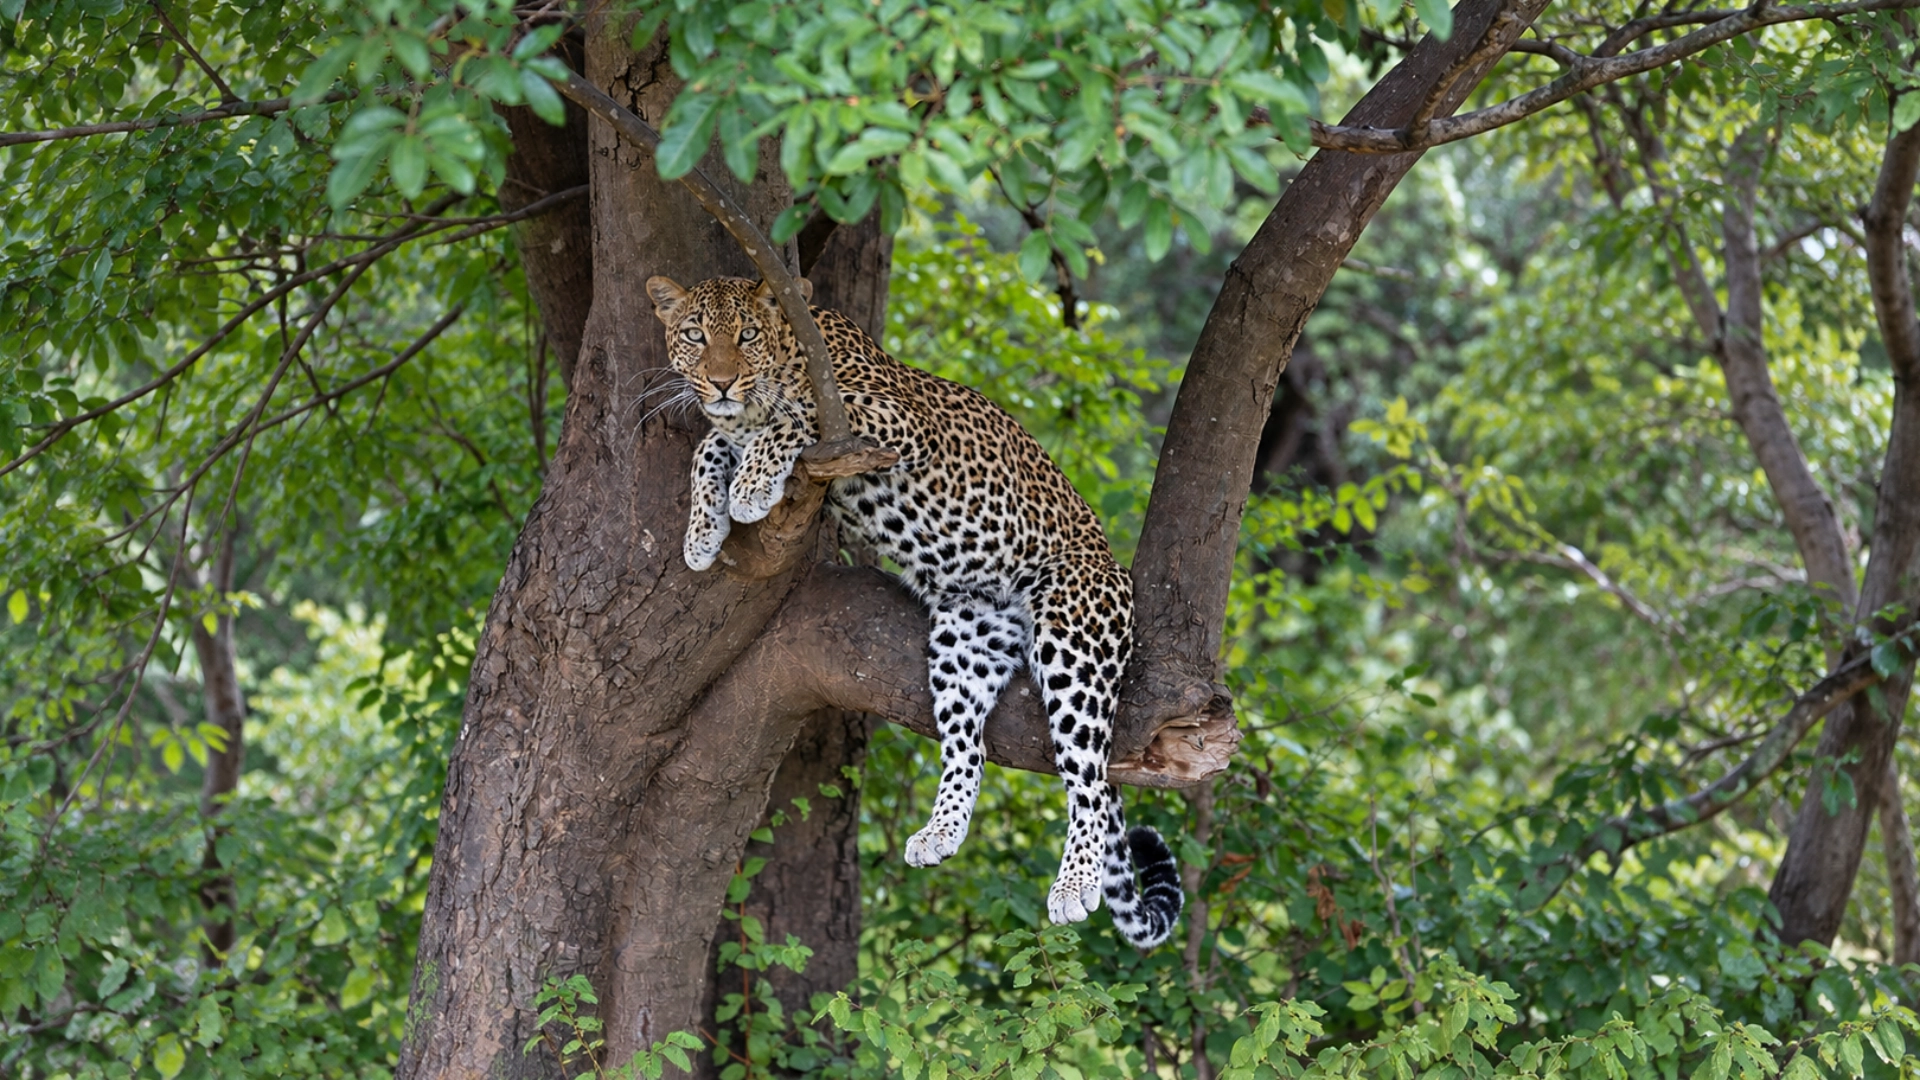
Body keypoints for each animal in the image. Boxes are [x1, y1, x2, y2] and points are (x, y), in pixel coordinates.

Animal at [645, 273, 1183, 950]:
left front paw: (747, 489)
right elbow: (710, 445)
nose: (719, 381)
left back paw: (1074, 884)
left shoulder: (887, 419)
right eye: (695, 335)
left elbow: (794, 416)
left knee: (1086, 776)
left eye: (745, 334)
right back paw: (940, 834)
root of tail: (1114, 571)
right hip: (965, 636)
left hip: (1073, 636)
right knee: (967, 749)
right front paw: (702, 532)